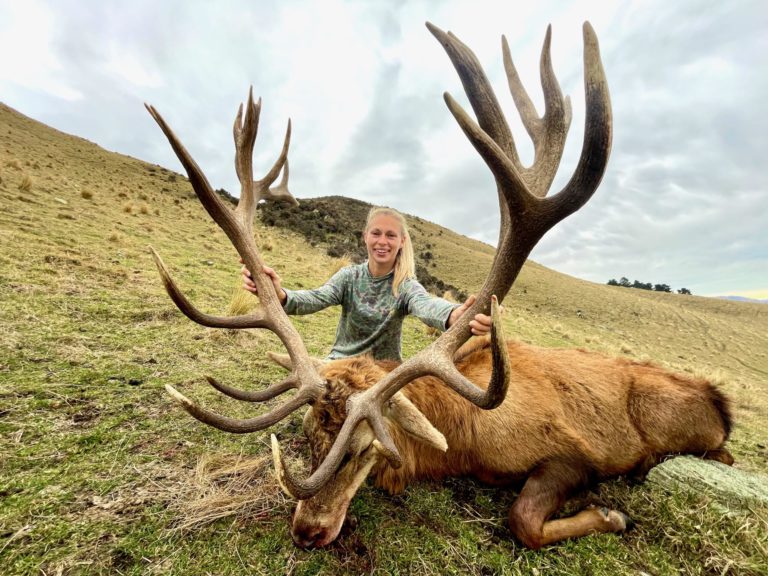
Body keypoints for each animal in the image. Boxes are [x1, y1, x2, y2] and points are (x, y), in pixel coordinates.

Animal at [146, 21, 733, 550]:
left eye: (364, 448)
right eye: (309, 434)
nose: (308, 531)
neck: (467, 438)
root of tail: (718, 397)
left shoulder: (575, 454)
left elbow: (523, 519)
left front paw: (613, 515)